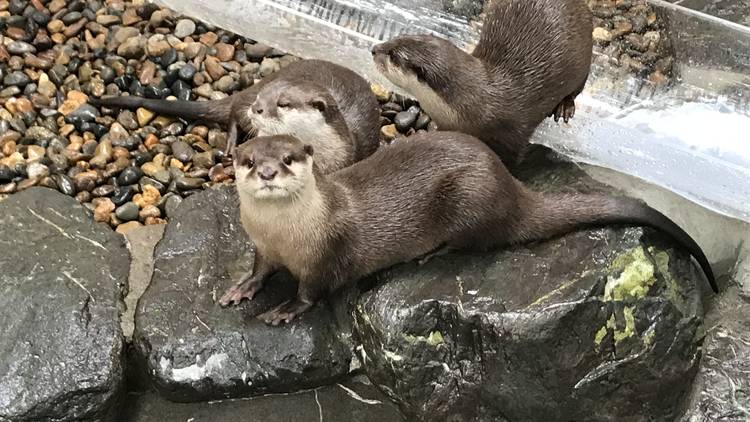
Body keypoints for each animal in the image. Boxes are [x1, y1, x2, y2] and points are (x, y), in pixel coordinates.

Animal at [89, 59, 382, 171]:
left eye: (284, 104)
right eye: (263, 97)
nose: (257, 108)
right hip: (242, 104)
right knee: (233, 113)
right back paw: (230, 145)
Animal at [217, 132, 716, 326]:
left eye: (287, 158)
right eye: (248, 160)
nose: (267, 173)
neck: (287, 235)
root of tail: (512, 190)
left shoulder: (327, 255)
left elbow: (311, 292)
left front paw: (283, 309)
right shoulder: (262, 245)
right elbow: (260, 269)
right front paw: (241, 288)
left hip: (468, 198)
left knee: (476, 240)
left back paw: (430, 253)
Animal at [370, 0, 592, 168]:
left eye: (393, 56)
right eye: (395, 39)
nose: (373, 49)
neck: (480, 103)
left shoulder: (513, 135)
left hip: (583, 61)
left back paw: (565, 106)